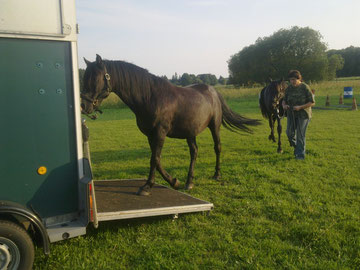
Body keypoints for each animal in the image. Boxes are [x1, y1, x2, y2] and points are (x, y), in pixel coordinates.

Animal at [80, 54, 260, 195]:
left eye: (94, 78)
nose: (83, 106)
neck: (150, 97)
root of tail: (214, 91)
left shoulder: (160, 132)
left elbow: (154, 159)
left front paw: (147, 186)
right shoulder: (150, 135)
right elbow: (156, 159)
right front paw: (174, 181)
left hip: (214, 127)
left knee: (217, 148)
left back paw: (216, 174)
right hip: (190, 133)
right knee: (194, 152)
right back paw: (189, 182)